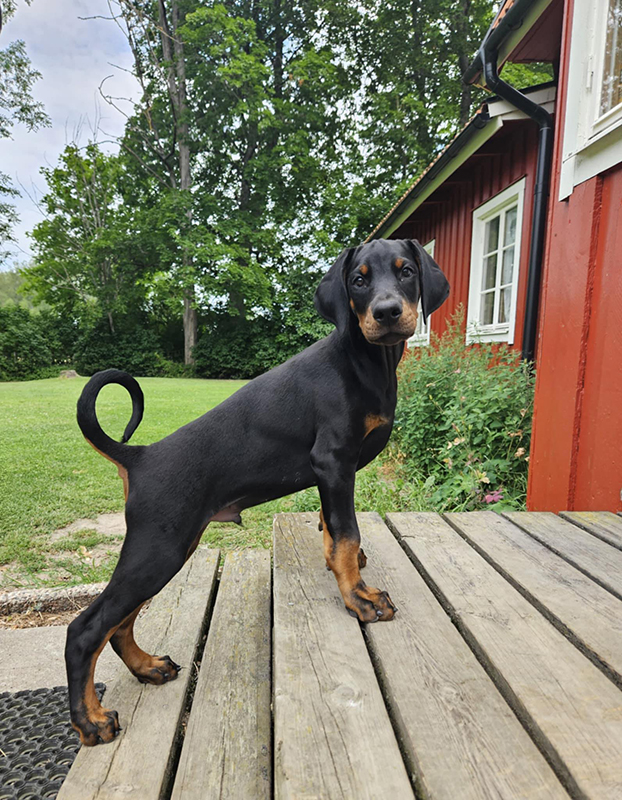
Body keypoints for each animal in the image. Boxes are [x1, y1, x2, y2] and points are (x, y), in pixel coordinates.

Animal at [65, 237, 449, 745]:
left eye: (406, 272)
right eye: (358, 280)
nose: (386, 313)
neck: (365, 362)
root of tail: (139, 456)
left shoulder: (331, 473)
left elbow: (333, 528)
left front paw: (341, 568)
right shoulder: (333, 460)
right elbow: (346, 533)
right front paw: (359, 599)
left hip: (168, 549)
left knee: (119, 622)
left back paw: (147, 667)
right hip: (159, 548)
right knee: (87, 629)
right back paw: (91, 721)